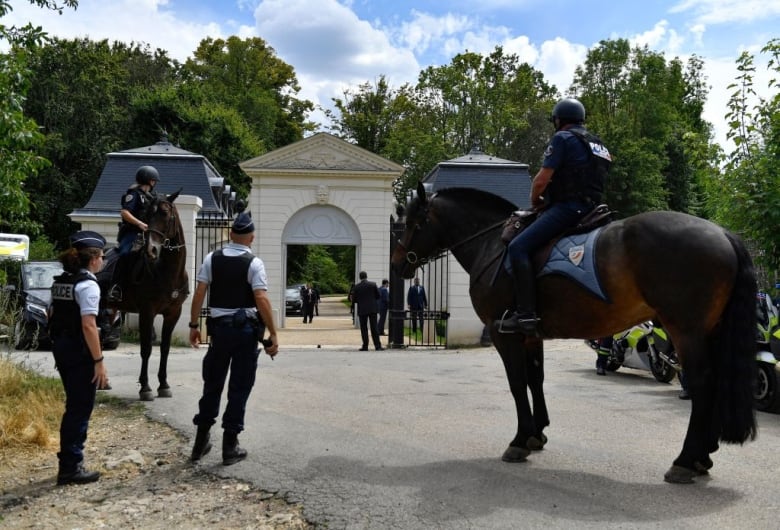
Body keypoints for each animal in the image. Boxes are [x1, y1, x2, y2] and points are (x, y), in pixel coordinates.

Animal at [99, 190, 189, 400]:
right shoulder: (147, 312)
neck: (167, 272)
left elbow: (165, 348)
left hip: (106, 309)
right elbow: (146, 349)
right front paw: (145, 387)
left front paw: (163, 385)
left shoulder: (173, 313)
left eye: (165, 213)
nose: (151, 250)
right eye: (147, 216)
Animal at [390, 183, 756, 482]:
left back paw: (685, 460)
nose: (397, 264)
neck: (492, 244)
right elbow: (534, 380)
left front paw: (520, 440)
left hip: (686, 331)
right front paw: (537, 434)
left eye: (412, 223)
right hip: (708, 333)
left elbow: (517, 383)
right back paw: (702, 456)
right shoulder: (530, 333)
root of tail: (724, 234)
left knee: (702, 385)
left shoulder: (503, 333)